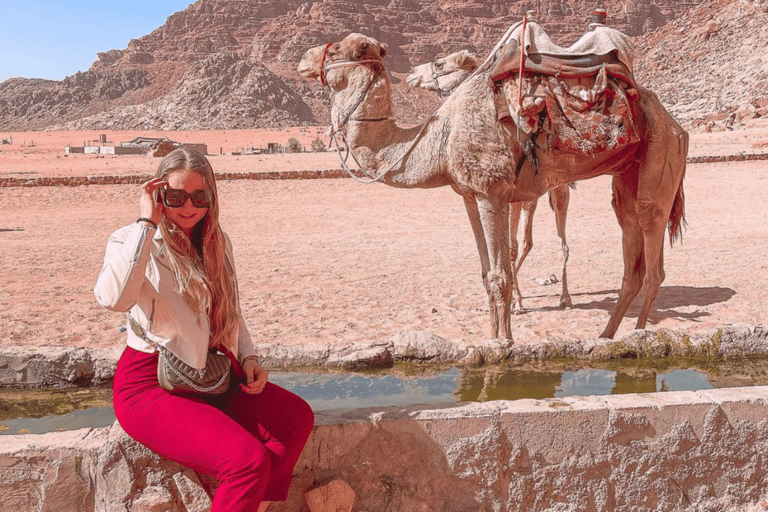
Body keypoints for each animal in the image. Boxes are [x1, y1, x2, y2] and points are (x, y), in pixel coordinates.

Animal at [404, 50, 572, 312]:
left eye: (440, 63)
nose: (411, 73)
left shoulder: (506, 192)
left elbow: (511, 247)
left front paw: (516, 302)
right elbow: (510, 246)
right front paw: (497, 300)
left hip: (560, 188)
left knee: (559, 241)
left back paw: (565, 297)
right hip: (533, 196)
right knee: (529, 240)